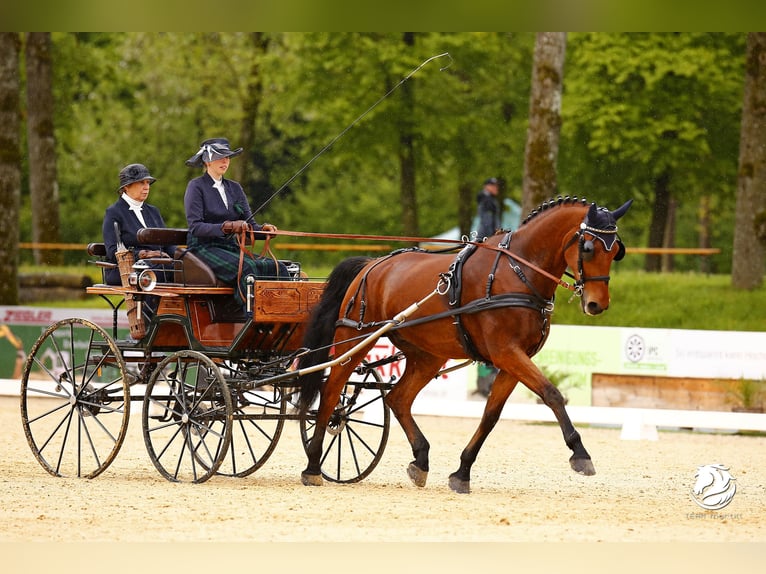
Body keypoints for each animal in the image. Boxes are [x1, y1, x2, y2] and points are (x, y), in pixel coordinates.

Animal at [297, 196, 633, 493]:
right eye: (587, 248)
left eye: (616, 250)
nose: (597, 304)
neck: (518, 272)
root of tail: (373, 264)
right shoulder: (507, 353)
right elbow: (552, 394)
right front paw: (580, 453)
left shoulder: (512, 360)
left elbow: (490, 416)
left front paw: (462, 471)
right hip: (354, 338)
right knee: (332, 391)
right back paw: (313, 465)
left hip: (427, 355)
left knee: (398, 399)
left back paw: (420, 460)